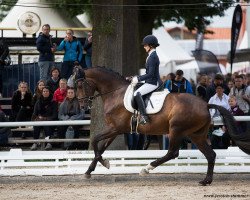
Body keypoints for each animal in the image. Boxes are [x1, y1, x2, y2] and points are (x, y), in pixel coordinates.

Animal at [77, 66, 249, 185]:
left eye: (80, 85)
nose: (82, 106)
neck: (116, 93)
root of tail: (205, 104)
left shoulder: (115, 128)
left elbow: (95, 141)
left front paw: (102, 164)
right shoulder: (114, 130)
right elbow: (101, 147)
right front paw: (90, 170)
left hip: (176, 130)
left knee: (173, 153)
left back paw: (147, 168)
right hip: (196, 135)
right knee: (210, 155)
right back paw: (206, 181)